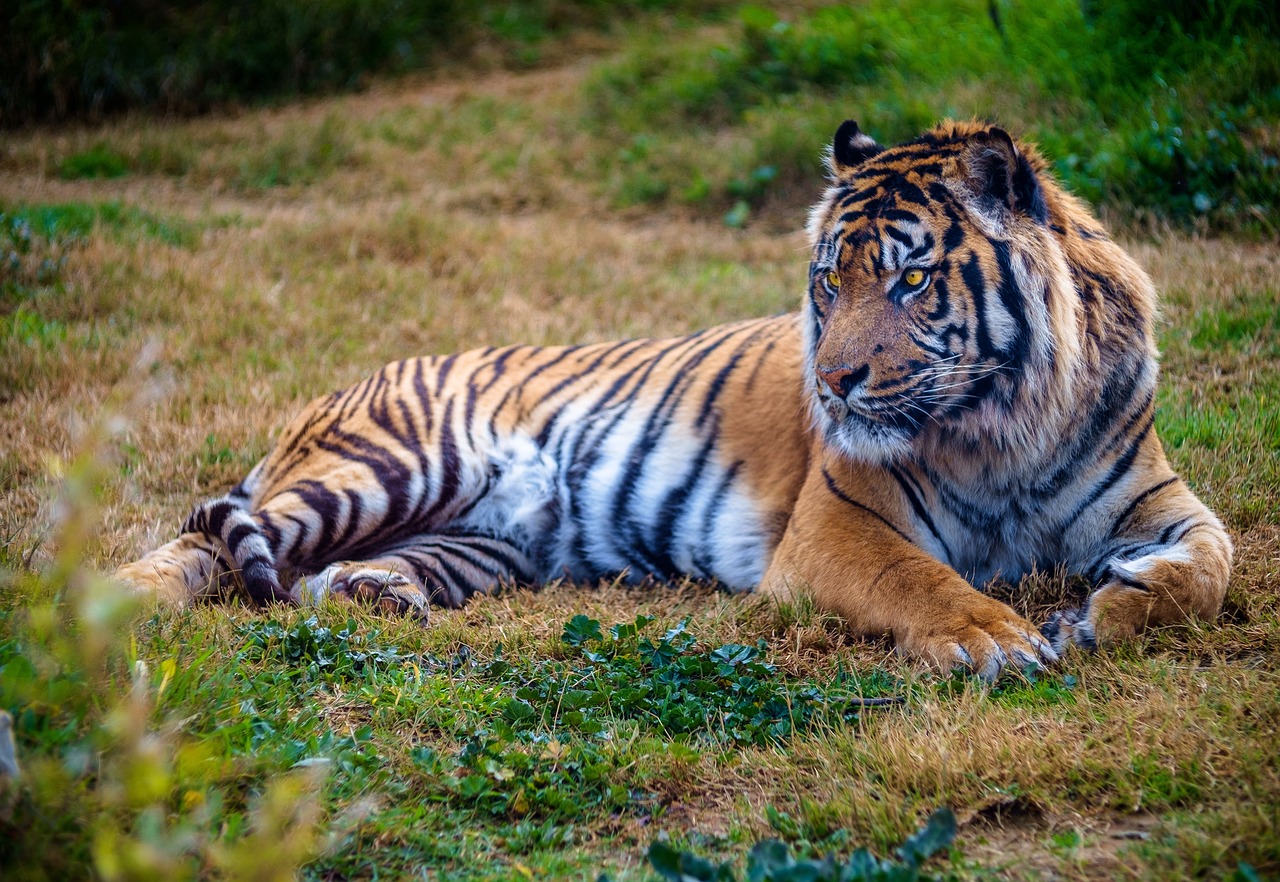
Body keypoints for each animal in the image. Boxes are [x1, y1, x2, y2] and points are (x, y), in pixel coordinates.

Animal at [117, 118, 1228, 681]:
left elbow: (1210, 567)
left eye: (911, 280)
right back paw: (124, 603)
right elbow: (920, 581)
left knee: (312, 576)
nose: (834, 383)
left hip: (479, 541)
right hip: (389, 463)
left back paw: (368, 593)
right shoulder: (837, 532)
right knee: (208, 538)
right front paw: (995, 637)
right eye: (829, 281)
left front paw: (1108, 610)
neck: (1007, 428)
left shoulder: (1153, 499)